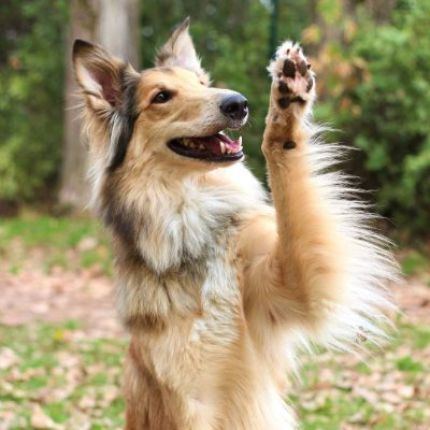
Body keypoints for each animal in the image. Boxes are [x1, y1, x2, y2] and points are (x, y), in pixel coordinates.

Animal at [73, 17, 396, 430]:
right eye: (161, 97)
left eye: (201, 84)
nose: (238, 103)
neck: (194, 226)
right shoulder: (189, 401)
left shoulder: (291, 286)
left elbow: (289, 193)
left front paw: (286, 103)